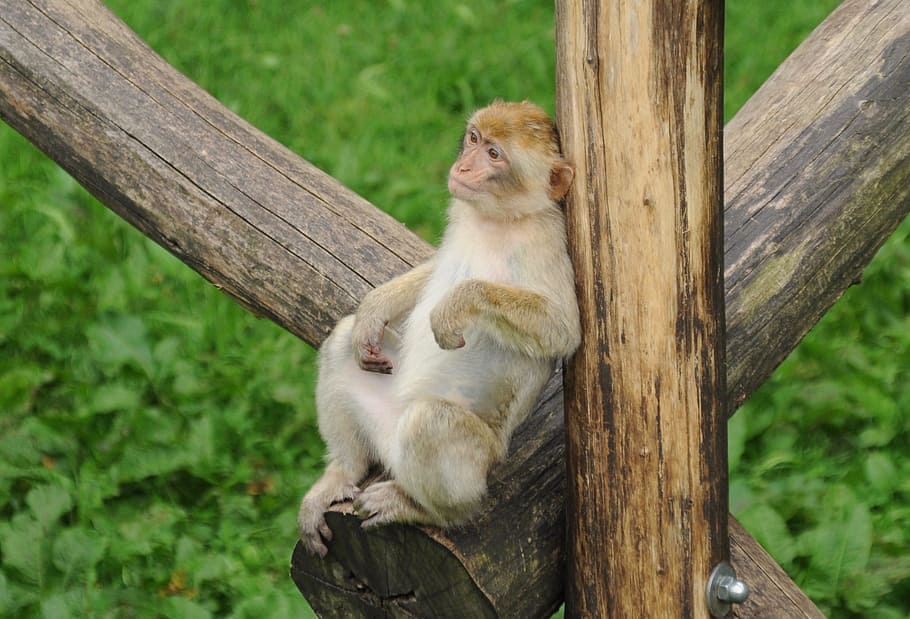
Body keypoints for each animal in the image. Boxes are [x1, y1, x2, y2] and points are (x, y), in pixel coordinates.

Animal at [298, 100, 581, 558]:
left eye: (495, 155)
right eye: (474, 139)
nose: (463, 167)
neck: (497, 219)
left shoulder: (546, 240)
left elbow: (563, 330)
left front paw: (457, 304)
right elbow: (430, 272)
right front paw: (375, 308)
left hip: (478, 460)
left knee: (432, 422)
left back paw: (425, 510)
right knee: (342, 343)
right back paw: (343, 472)